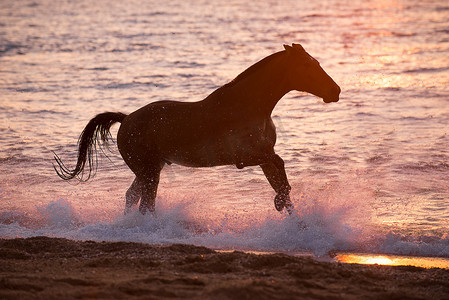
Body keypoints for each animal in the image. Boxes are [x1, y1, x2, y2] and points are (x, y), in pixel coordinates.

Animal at [53, 43, 340, 214]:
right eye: (308, 65)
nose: (335, 91)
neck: (249, 105)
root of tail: (125, 120)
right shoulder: (246, 158)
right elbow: (280, 168)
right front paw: (280, 204)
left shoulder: (262, 157)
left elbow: (282, 183)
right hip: (149, 172)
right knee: (145, 203)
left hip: (150, 169)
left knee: (132, 197)